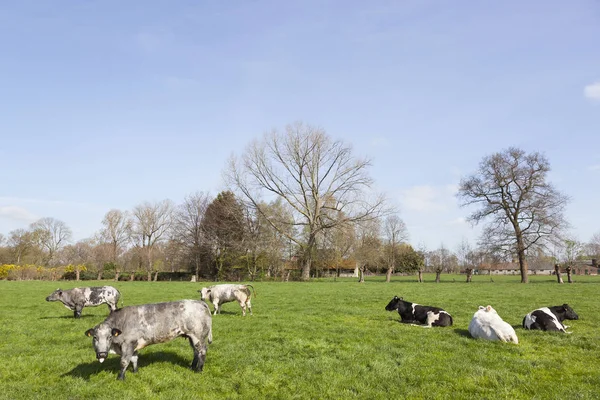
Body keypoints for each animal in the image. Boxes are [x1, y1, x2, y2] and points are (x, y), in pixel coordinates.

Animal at [84, 300, 213, 382]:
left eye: (109, 337)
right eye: (95, 337)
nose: (101, 354)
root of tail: (200, 302)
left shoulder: (128, 344)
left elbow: (124, 362)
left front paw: (120, 378)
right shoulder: (134, 345)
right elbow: (134, 359)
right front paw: (135, 372)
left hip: (198, 336)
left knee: (202, 351)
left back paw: (199, 369)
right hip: (191, 337)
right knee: (195, 351)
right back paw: (192, 366)